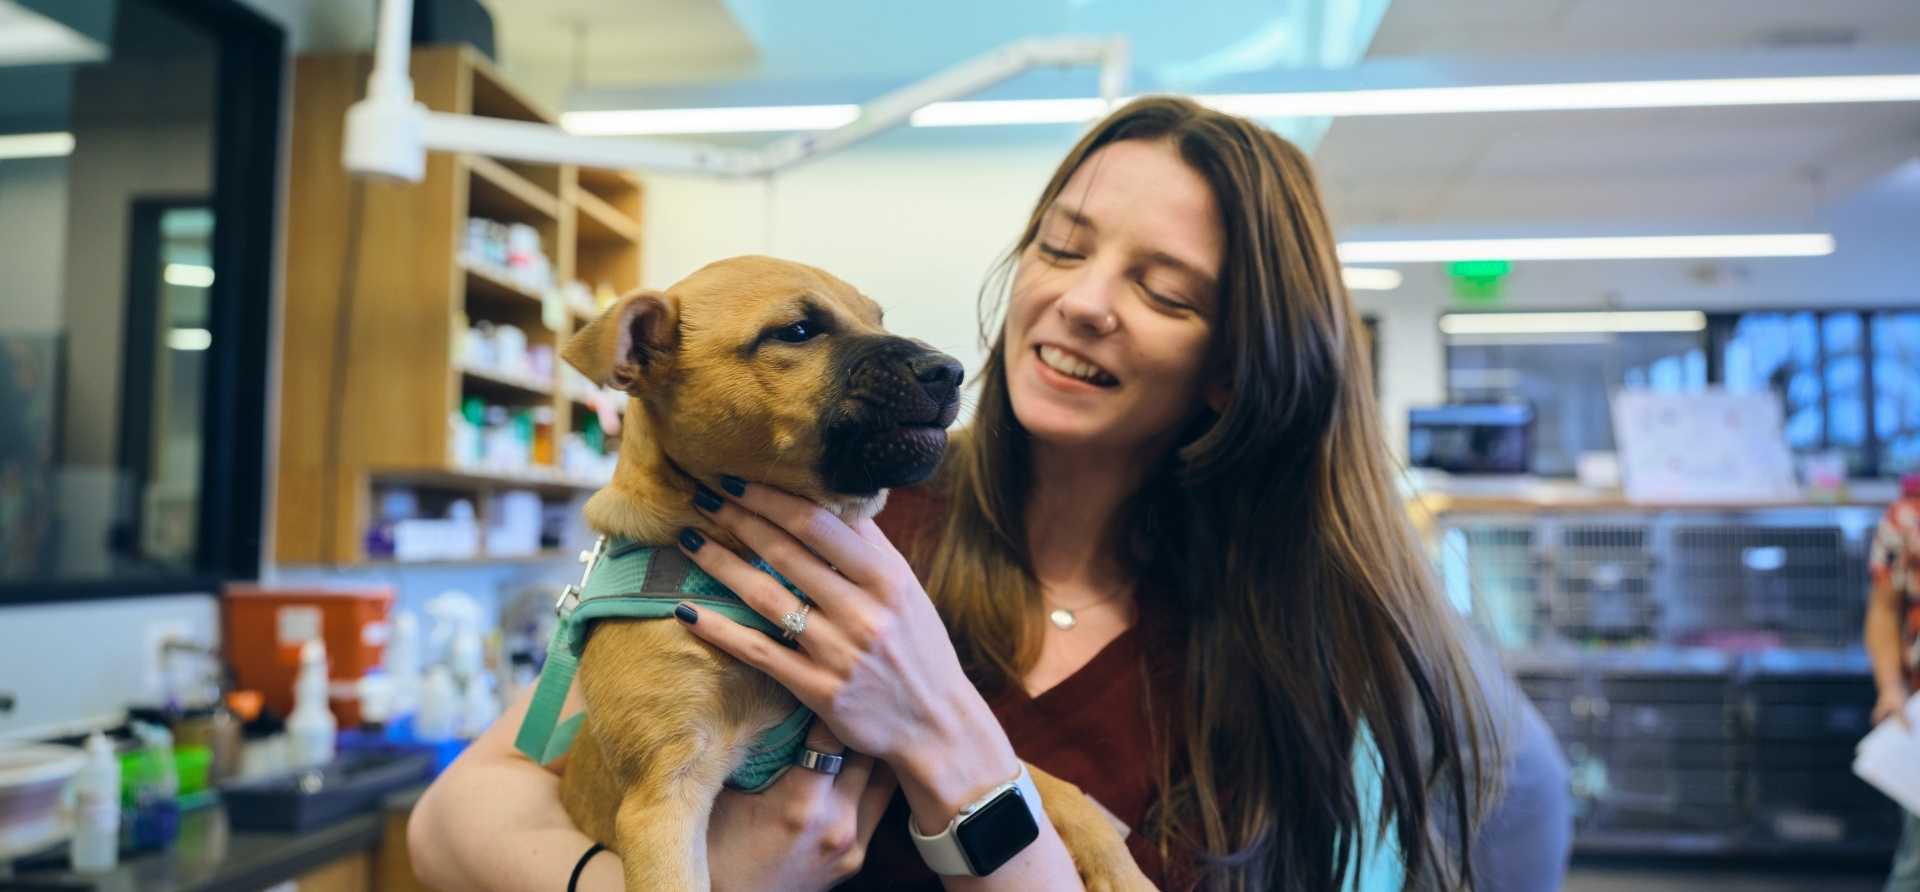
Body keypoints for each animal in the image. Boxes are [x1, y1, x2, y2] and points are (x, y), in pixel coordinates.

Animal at [556, 253, 1152, 886]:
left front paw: (1120, 867)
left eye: (877, 317)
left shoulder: (896, 745)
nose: (951, 371)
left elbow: (1049, 781)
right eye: (797, 331)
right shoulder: (664, 797)